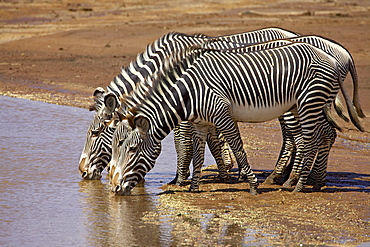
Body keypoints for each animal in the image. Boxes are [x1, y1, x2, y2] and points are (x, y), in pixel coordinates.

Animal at [78, 27, 300, 181]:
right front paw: (224, 172)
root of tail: (290, 32)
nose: (82, 172)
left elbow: (182, 142)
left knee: (291, 136)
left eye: (95, 133)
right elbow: (212, 140)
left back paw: (281, 176)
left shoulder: (184, 103)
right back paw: (284, 174)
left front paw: (181, 178)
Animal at [107, 42, 362, 197]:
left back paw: (297, 185)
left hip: (309, 102)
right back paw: (314, 181)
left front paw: (252, 185)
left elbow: (238, 147)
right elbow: (198, 156)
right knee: (325, 134)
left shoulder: (222, 114)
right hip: (305, 105)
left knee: (309, 141)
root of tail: (333, 57)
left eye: (131, 150)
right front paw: (194, 188)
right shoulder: (201, 124)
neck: (189, 94)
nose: (115, 188)